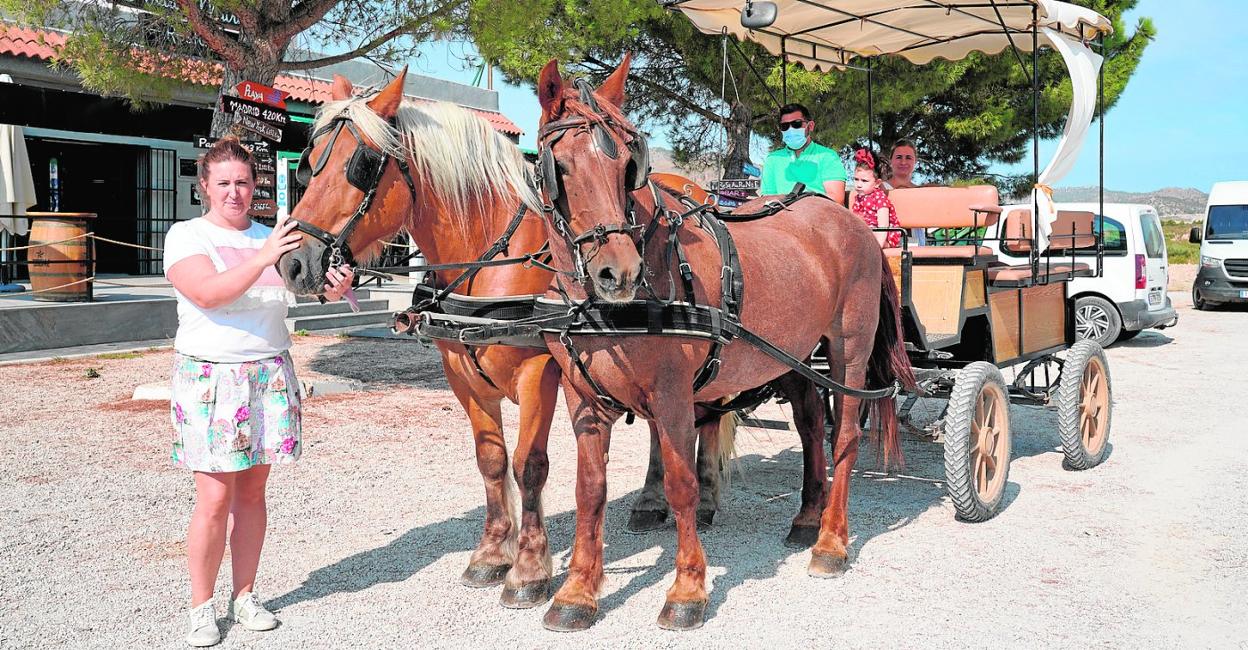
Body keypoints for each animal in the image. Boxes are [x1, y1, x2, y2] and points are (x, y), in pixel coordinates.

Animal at [531, 55, 915, 631]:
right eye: (560, 166)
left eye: (627, 167)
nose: (618, 272)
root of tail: (850, 222)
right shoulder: (583, 399)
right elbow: (589, 490)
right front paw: (577, 592)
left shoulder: (672, 394)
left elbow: (682, 484)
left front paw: (688, 589)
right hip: (794, 357)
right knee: (810, 426)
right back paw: (808, 516)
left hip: (848, 349)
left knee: (843, 434)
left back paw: (831, 541)